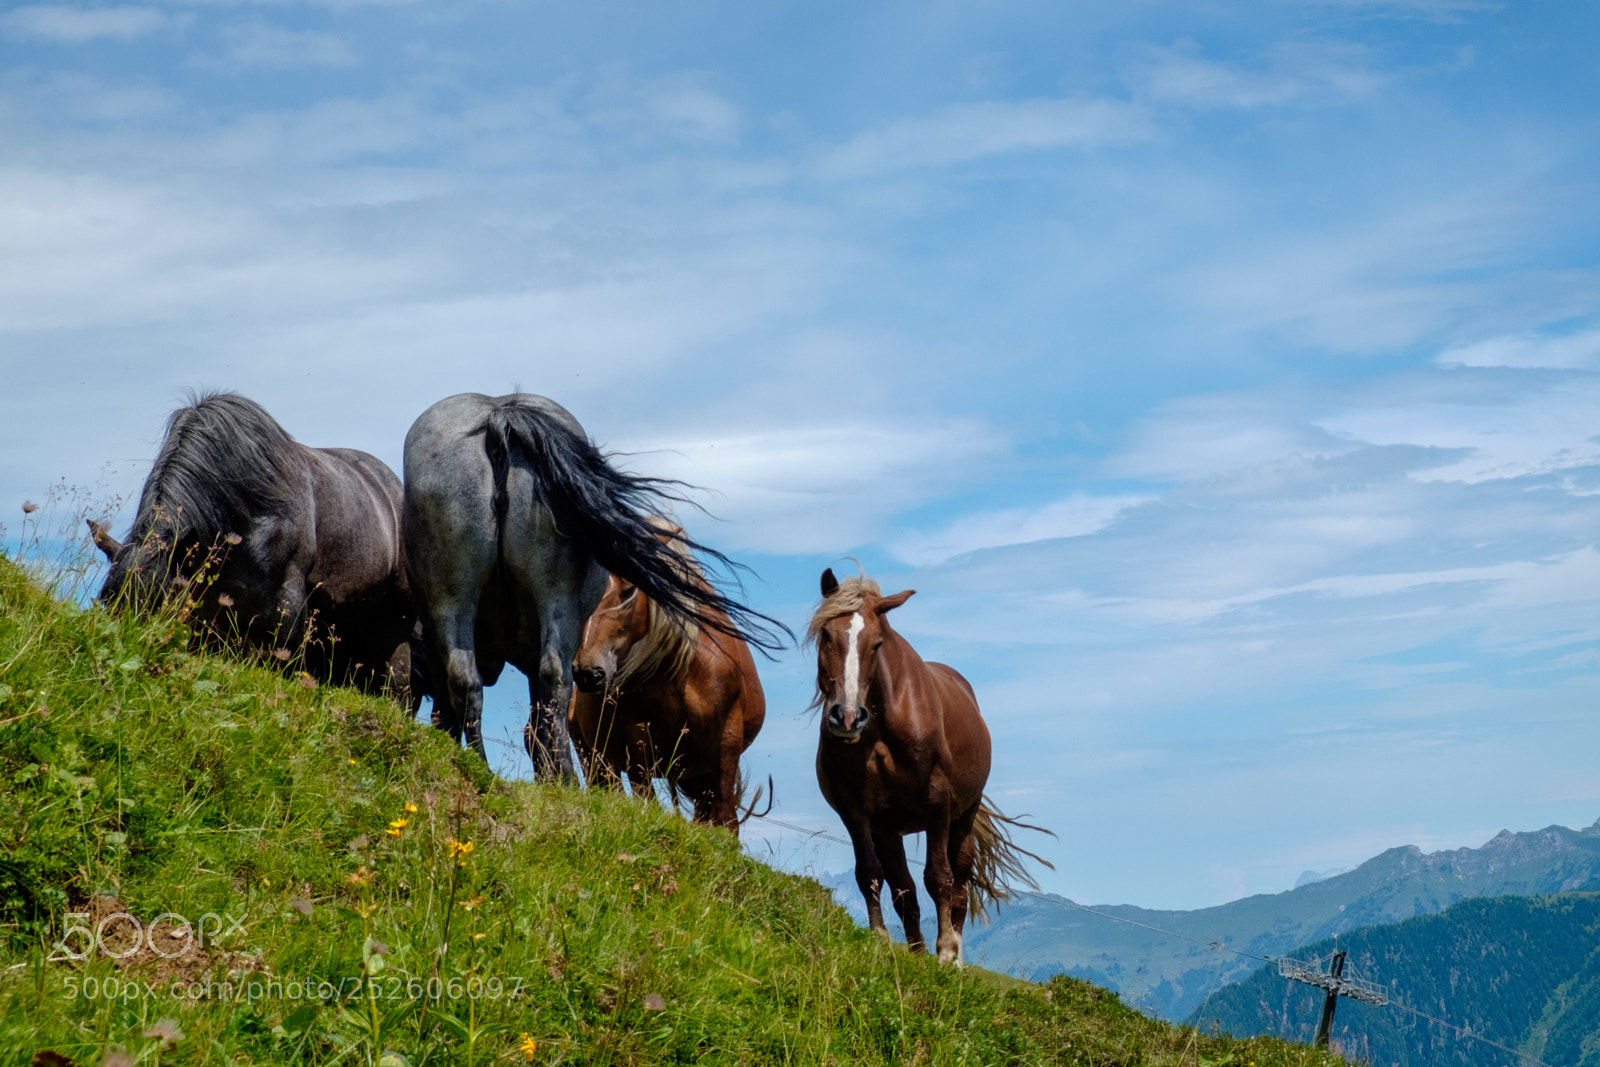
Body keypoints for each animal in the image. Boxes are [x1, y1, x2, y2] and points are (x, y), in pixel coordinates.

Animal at [568, 518, 766, 831]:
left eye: (629, 590)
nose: (588, 672)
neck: (680, 673)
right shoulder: (635, 741)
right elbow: (647, 802)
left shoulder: (726, 740)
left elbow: (725, 820)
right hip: (597, 759)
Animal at [808, 567, 1050, 965]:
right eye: (827, 634)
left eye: (877, 643)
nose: (847, 717)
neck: (883, 726)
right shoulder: (854, 809)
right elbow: (870, 873)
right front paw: (880, 940)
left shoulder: (937, 804)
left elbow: (939, 878)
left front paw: (947, 953)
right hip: (889, 830)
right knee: (903, 891)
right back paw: (917, 951)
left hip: (961, 820)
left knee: (959, 887)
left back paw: (954, 959)